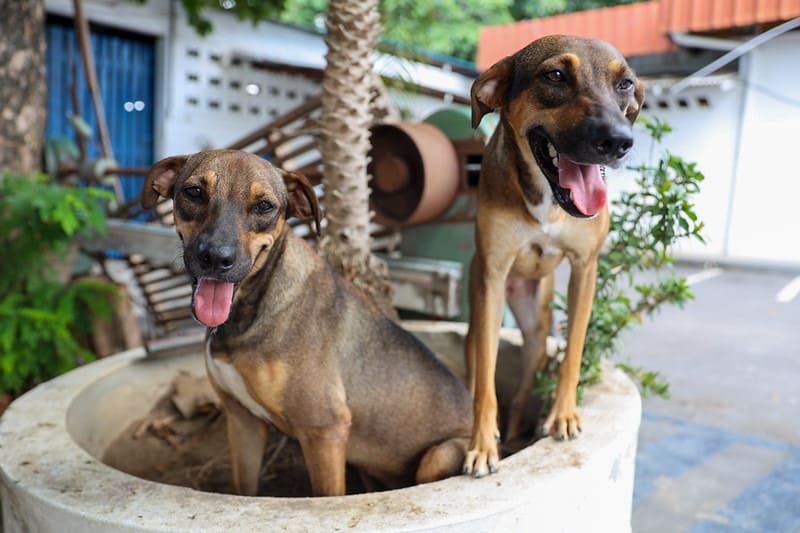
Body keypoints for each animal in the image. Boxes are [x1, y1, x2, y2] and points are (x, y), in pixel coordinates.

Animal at [142, 149, 476, 494]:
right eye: (194, 192)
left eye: (265, 206)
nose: (216, 259)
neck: (248, 312)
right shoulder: (243, 421)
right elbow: (243, 486)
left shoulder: (325, 430)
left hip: (439, 454)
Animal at [462, 35, 644, 476]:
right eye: (556, 75)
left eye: (625, 84)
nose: (619, 142)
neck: (547, 196)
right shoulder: (493, 275)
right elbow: (485, 385)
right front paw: (481, 446)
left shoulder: (585, 269)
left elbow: (574, 350)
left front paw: (563, 416)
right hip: (482, 313)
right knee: (477, 372)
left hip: (536, 331)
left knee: (521, 392)